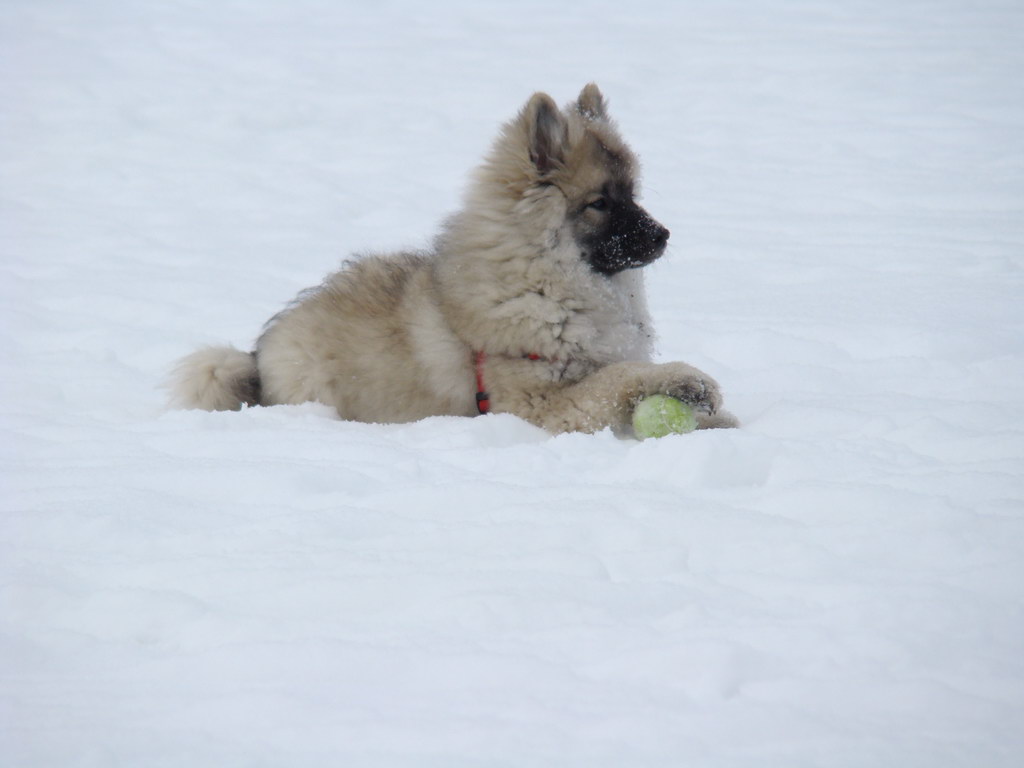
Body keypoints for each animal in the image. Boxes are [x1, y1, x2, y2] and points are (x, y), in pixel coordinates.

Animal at [174, 84, 737, 436]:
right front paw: (688, 380)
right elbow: (619, 378)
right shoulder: (538, 403)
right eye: (601, 202)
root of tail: (258, 356)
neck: (547, 281)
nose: (664, 235)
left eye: (633, 194)